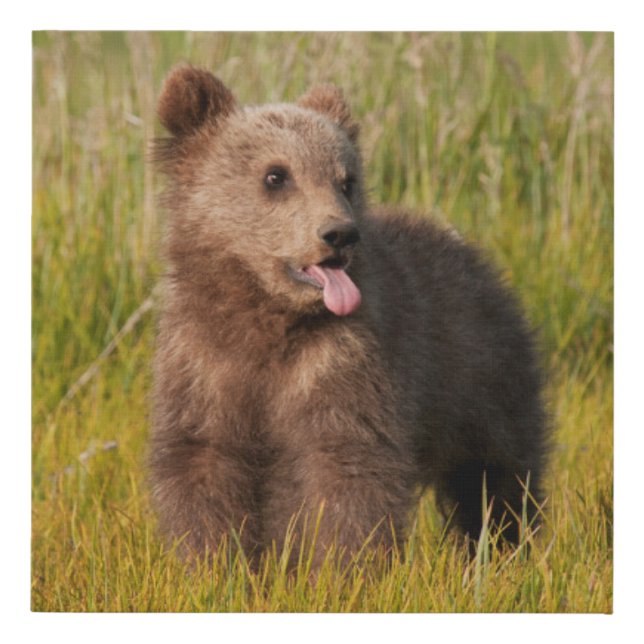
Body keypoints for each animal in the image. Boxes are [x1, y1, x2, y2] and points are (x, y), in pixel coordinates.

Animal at [149, 65, 548, 568]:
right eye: (276, 175)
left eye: (346, 180)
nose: (339, 233)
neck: (266, 317)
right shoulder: (204, 365)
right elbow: (202, 462)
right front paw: (213, 564)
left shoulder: (341, 363)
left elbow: (346, 469)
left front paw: (343, 568)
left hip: (480, 377)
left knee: (496, 474)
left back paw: (504, 546)